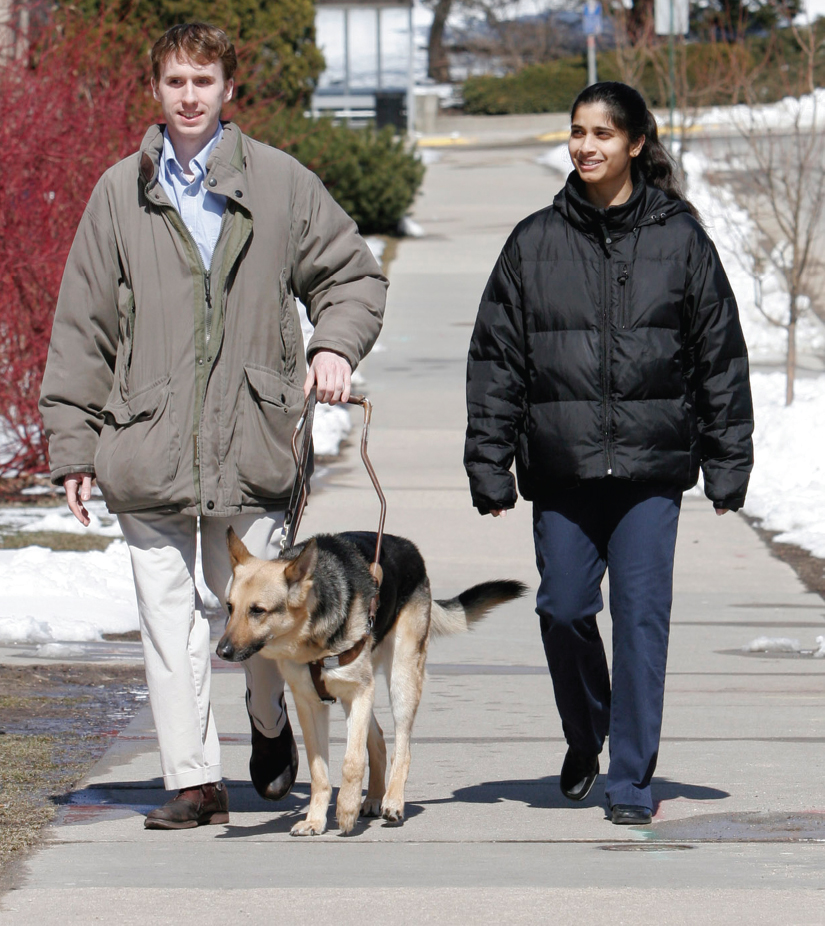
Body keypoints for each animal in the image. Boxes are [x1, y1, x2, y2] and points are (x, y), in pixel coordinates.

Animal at [216, 528, 524, 840]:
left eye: (258, 610)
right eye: (230, 607)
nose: (221, 652)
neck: (312, 638)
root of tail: (407, 546)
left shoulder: (358, 693)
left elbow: (352, 762)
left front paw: (346, 810)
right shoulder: (311, 704)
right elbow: (319, 771)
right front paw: (315, 820)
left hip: (400, 681)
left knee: (402, 748)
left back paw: (392, 801)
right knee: (377, 741)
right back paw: (375, 797)